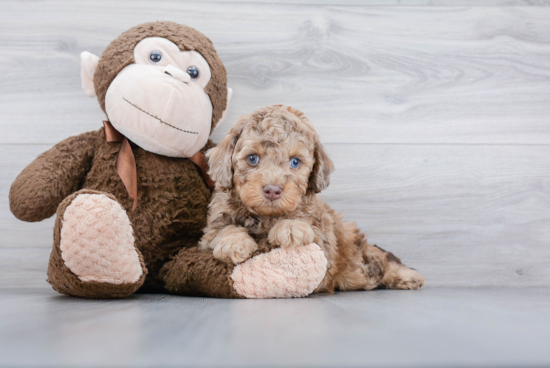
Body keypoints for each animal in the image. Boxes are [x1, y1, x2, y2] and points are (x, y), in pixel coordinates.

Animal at [202, 105, 426, 292]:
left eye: (295, 162)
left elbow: (308, 232)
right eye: (252, 158)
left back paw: (407, 276)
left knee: (380, 262)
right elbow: (222, 231)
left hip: (359, 255)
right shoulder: (210, 230)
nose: (272, 190)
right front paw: (234, 242)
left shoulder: (324, 242)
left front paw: (291, 227)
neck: (266, 216)